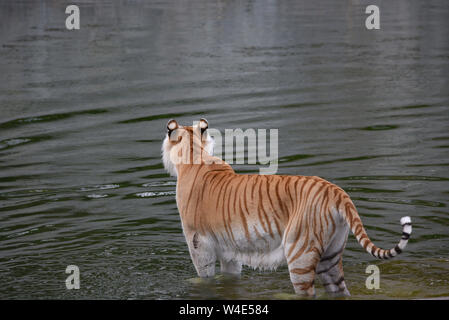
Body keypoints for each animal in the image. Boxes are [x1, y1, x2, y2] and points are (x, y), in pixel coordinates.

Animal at [160, 119, 410, 296]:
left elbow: (204, 279)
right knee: (339, 289)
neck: (195, 154)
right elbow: (230, 276)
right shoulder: (229, 249)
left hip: (300, 255)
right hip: (330, 255)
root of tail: (336, 191)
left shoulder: (198, 243)